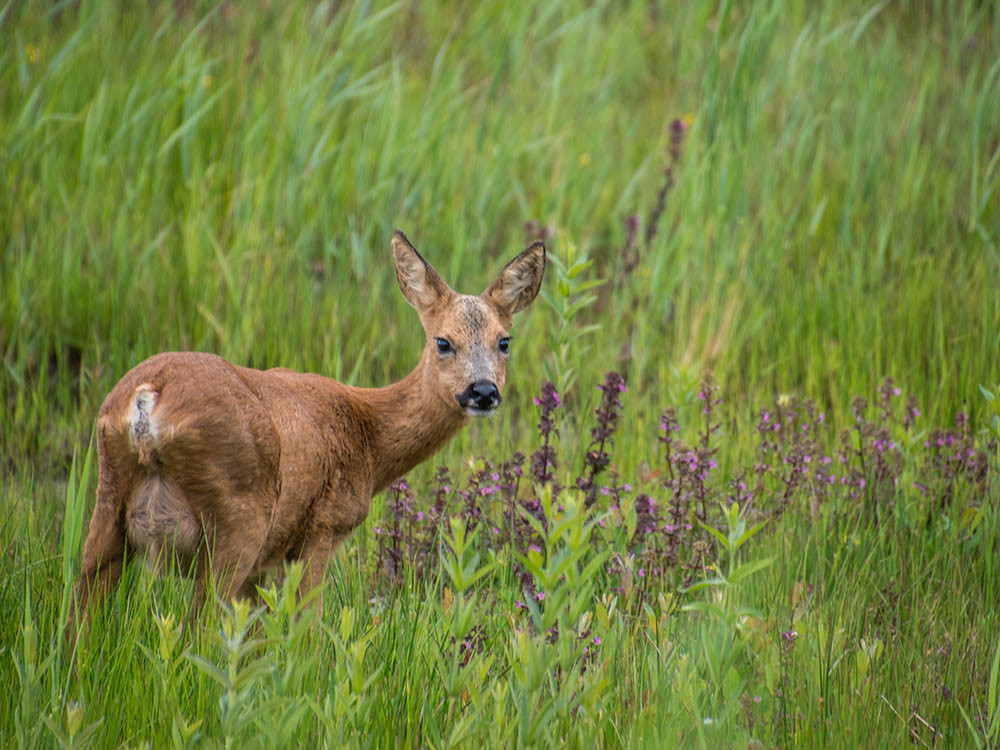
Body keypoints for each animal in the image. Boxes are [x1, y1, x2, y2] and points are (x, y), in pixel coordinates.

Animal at [73, 232, 548, 624]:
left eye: (504, 341)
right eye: (443, 342)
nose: (483, 391)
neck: (369, 440)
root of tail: (149, 399)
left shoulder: (267, 561)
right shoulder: (323, 529)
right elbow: (307, 631)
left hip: (109, 498)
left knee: (81, 614)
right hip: (237, 516)